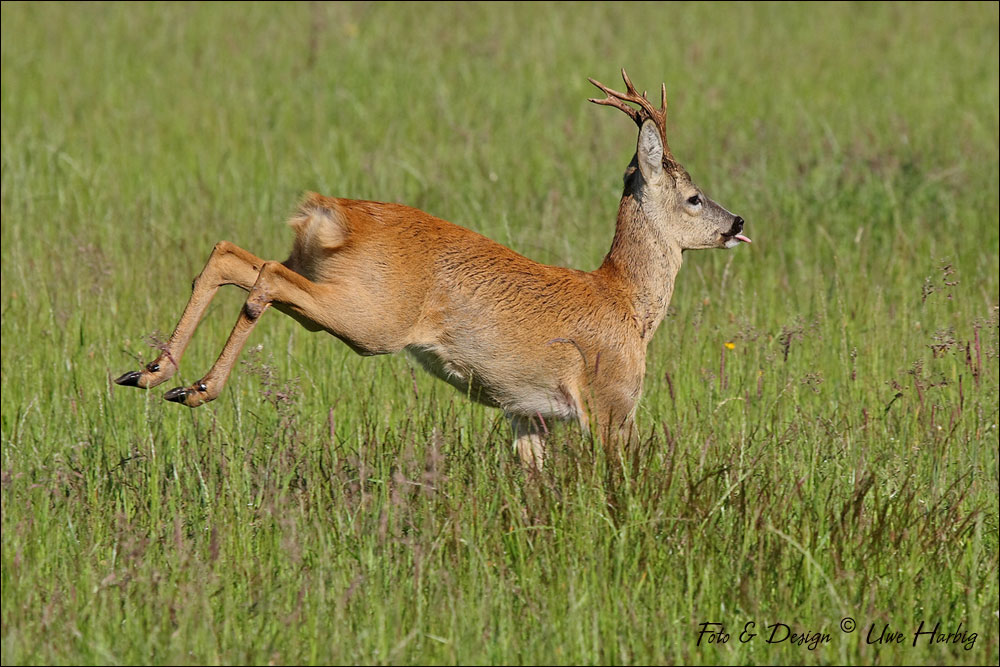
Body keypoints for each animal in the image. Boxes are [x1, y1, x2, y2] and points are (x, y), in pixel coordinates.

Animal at [113, 70, 748, 470]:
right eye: (693, 197)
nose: (737, 220)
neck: (627, 303)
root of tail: (330, 215)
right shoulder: (612, 404)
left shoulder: (526, 415)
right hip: (372, 318)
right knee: (265, 276)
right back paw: (194, 389)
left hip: (325, 282)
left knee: (232, 255)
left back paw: (151, 373)